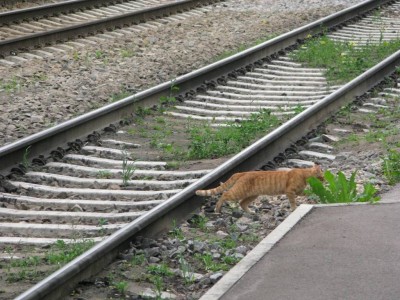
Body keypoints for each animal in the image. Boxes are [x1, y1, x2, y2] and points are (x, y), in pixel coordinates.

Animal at [195, 164, 324, 213]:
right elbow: (292, 201)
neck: (304, 174)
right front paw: (294, 208)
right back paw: (217, 209)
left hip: (252, 195)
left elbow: (307, 193)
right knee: (224, 194)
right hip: (238, 192)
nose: (324, 180)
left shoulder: (299, 192)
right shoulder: (290, 192)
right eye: (322, 176)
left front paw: (314, 195)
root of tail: (241, 172)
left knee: (242, 203)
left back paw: (250, 212)